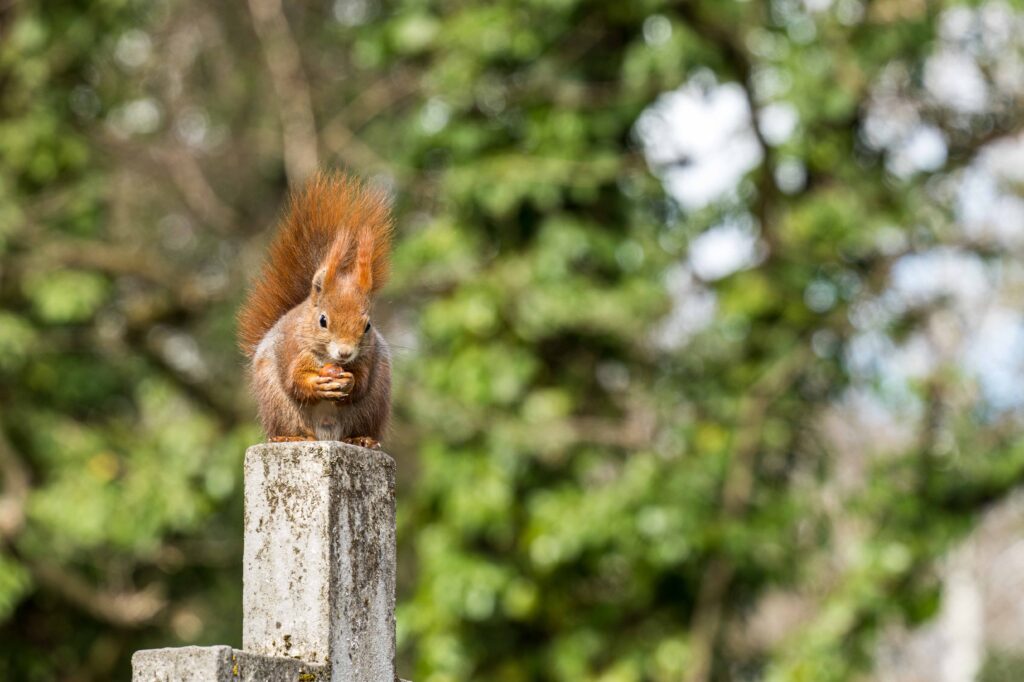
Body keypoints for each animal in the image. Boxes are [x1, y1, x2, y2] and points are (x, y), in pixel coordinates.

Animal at [237, 172, 393, 449]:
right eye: (323, 321)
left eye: (367, 326)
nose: (345, 353)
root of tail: (324, 435)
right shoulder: (293, 352)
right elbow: (295, 381)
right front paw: (318, 384)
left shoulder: (368, 358)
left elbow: (362, 382)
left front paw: (350, 381)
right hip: (278, 405)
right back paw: (290, 436)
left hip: (375, 402)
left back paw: (361, 438)